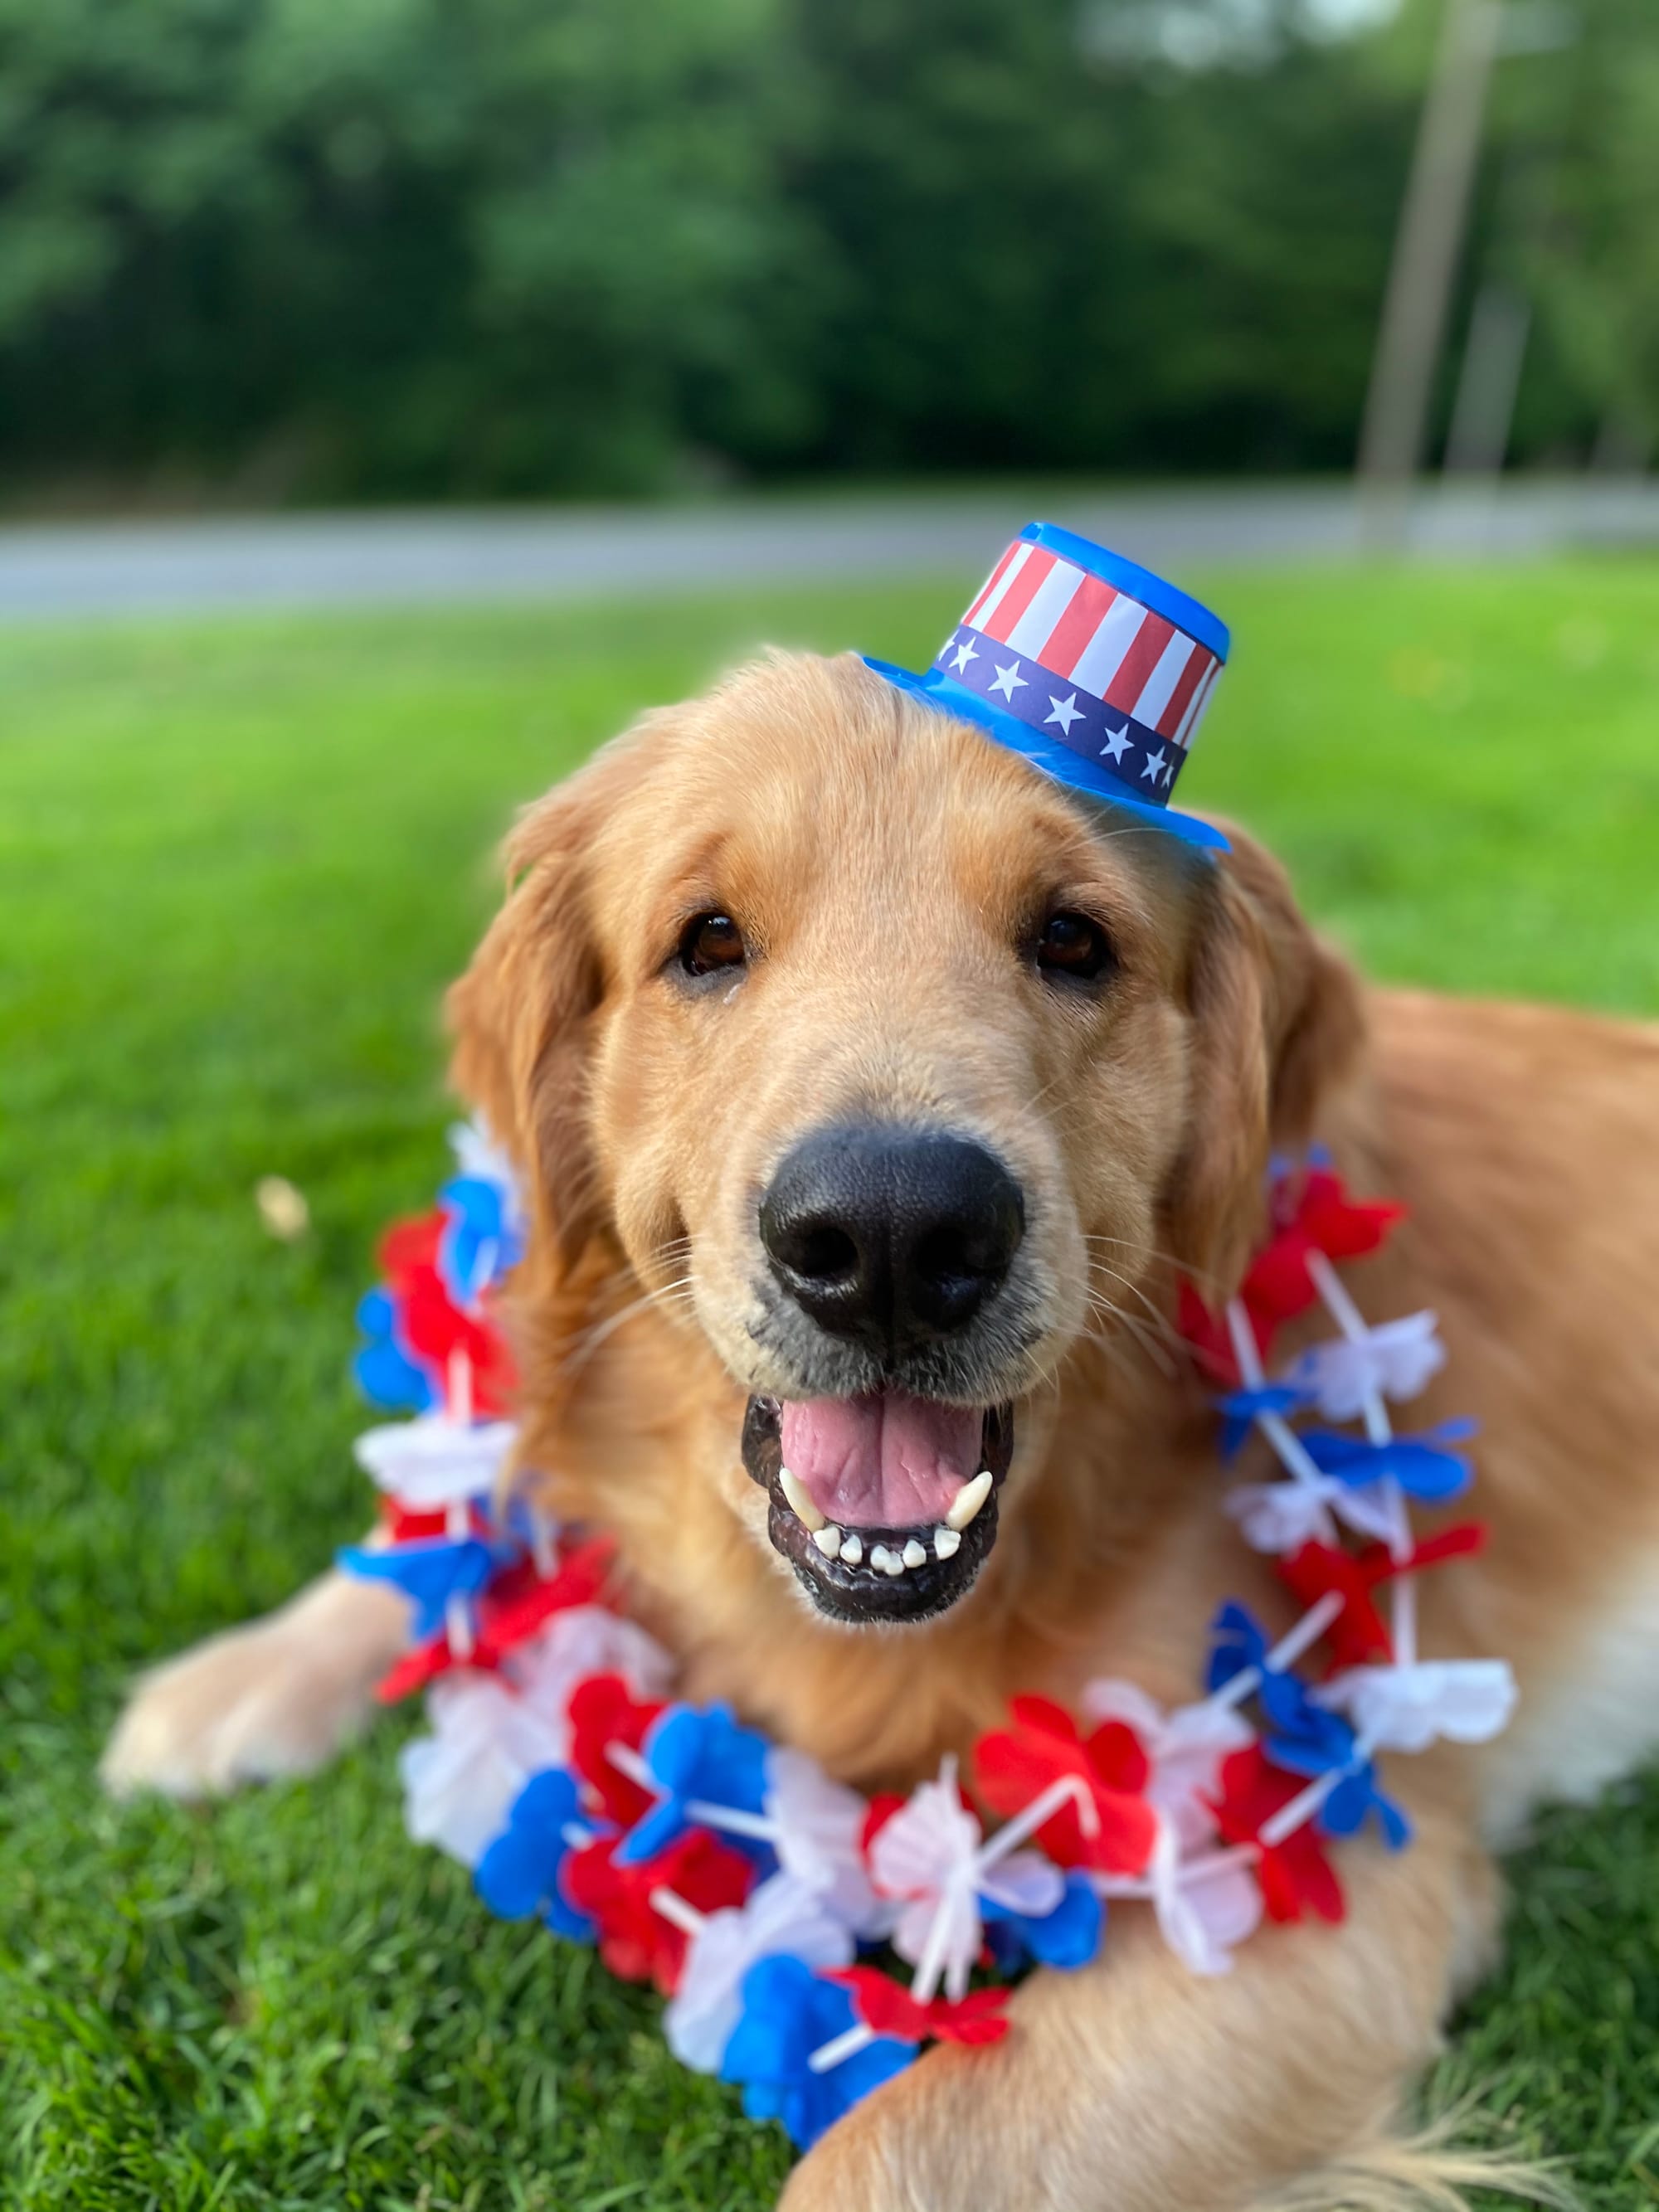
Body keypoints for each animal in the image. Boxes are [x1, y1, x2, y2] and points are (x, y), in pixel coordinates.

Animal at [104, 645, 1659, 2203]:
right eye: (708, 940)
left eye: (1074, 939)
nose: (896, 1236)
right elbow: (454, 1516)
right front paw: (236, 1678)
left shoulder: (1335, 1866)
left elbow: (885, 2147)